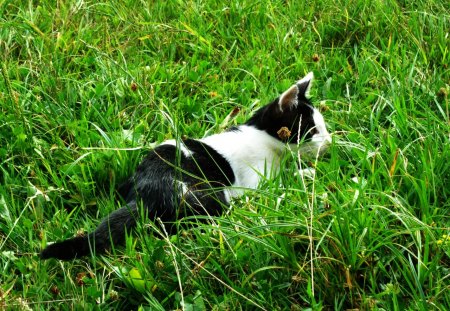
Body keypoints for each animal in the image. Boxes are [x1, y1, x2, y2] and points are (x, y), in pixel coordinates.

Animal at [39, 71, 330, 260]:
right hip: (212, 196)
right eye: (312, 130)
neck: (262, 137)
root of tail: (144, 194)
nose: (329, 141)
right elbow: (284, 184)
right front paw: (311, 173)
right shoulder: (256, 182)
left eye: (323, 128)